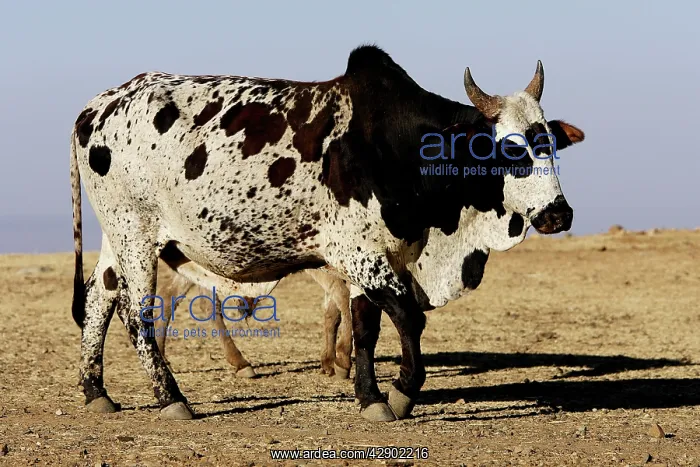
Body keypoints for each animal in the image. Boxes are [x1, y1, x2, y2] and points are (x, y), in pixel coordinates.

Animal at [70, 45, 584, 422]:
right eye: (509, 148)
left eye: (550, 143)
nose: (558, 214)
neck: (395, 148)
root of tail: (98, 106)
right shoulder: (360, 255)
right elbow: (408, 318)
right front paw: (401, 392)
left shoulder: (378, 257)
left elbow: (366, 326)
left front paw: (370, 397)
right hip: (136, 237)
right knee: (137, 314)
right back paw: (172, 399)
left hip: (117, 239)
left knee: (98, 298)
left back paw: (96, 391)